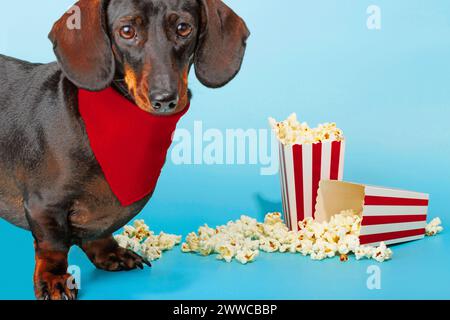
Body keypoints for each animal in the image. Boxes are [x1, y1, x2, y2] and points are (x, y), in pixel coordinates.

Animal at [0, 0, 250, 300]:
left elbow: (98, 233)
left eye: (183, 28)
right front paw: (54, 278)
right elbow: (53, 245)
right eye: (127, 31)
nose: (165, 99)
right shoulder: (44, 206)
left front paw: (110, 252)